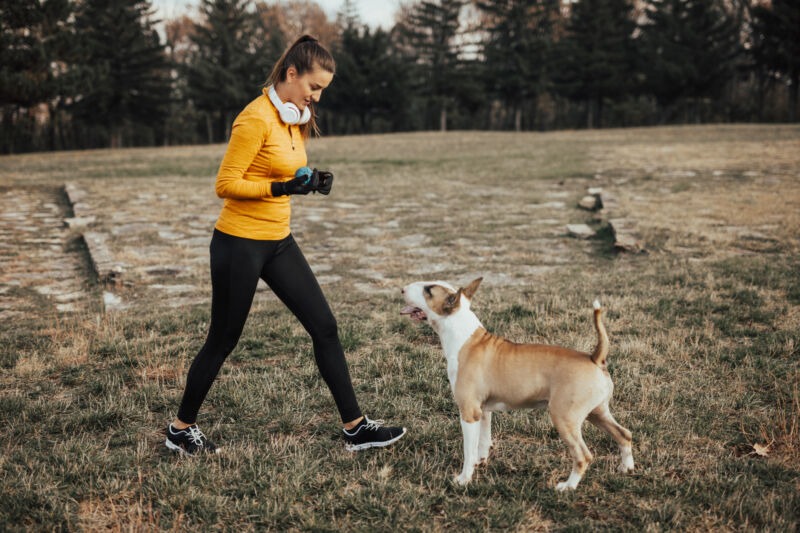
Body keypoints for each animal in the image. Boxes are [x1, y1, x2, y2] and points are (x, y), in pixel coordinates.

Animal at [404, 278, 636, 490]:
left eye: (428, 290)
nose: (403, 289)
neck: (462, 335)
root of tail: (594, 358)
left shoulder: (468, 412)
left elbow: (468, 450)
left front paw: (463, 479)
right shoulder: (483, 410)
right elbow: (483, 441)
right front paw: (481, 462)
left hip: (564, 418)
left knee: (583, 455)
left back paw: (567, 487)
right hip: (597, 412)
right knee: (624, 434)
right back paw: (626, 468)